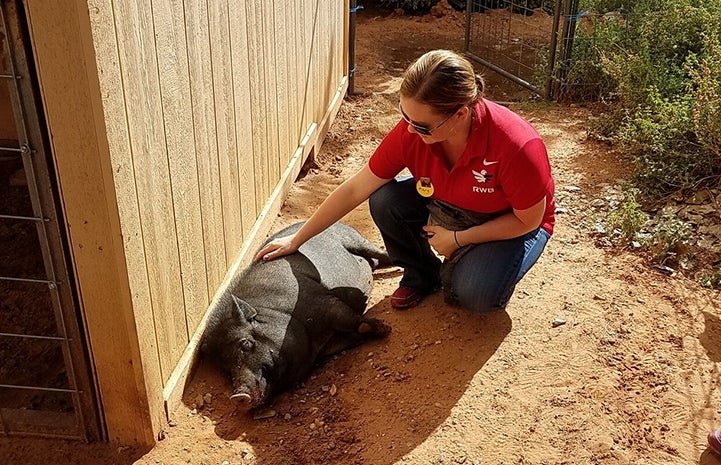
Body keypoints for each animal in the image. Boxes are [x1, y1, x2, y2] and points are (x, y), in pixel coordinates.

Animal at [200, 221, 390, 410]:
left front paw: (384, 328)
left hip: (355, 239)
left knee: (381, 254)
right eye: (225, 367)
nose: (238, 396)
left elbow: (347, 317)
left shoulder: (323, 302)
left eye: (246, 343)